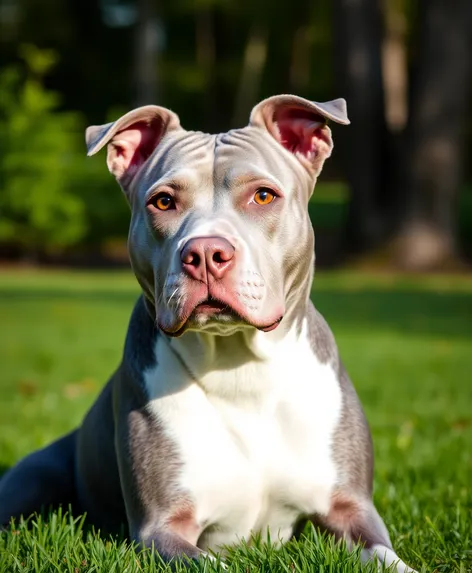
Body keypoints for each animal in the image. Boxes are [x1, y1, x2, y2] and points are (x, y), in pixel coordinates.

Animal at [0, 94, 416, 568]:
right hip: (33, 476)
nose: (204, 252)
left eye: (263, 195)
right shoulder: (163, 526)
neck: (239, 366)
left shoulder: (350, 508)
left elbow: (386, 556)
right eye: (163, 202)